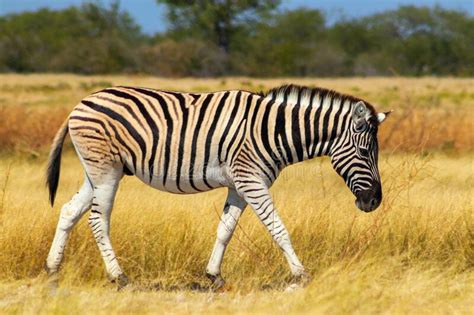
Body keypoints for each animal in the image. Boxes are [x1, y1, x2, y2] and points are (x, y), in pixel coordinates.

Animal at [45, 84, 388, 292]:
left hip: (98, 172)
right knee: (98, 219)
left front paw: (213, 276)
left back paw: (53, 269)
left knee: (69, 211)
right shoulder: (251, 179)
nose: (374, 201)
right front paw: (301, 274)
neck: (274, 130)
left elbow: (225, 229)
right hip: (106, 171)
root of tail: (81, 103)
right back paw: (119, 277)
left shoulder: (239, 185)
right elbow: (278, 228)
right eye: (364, 152)